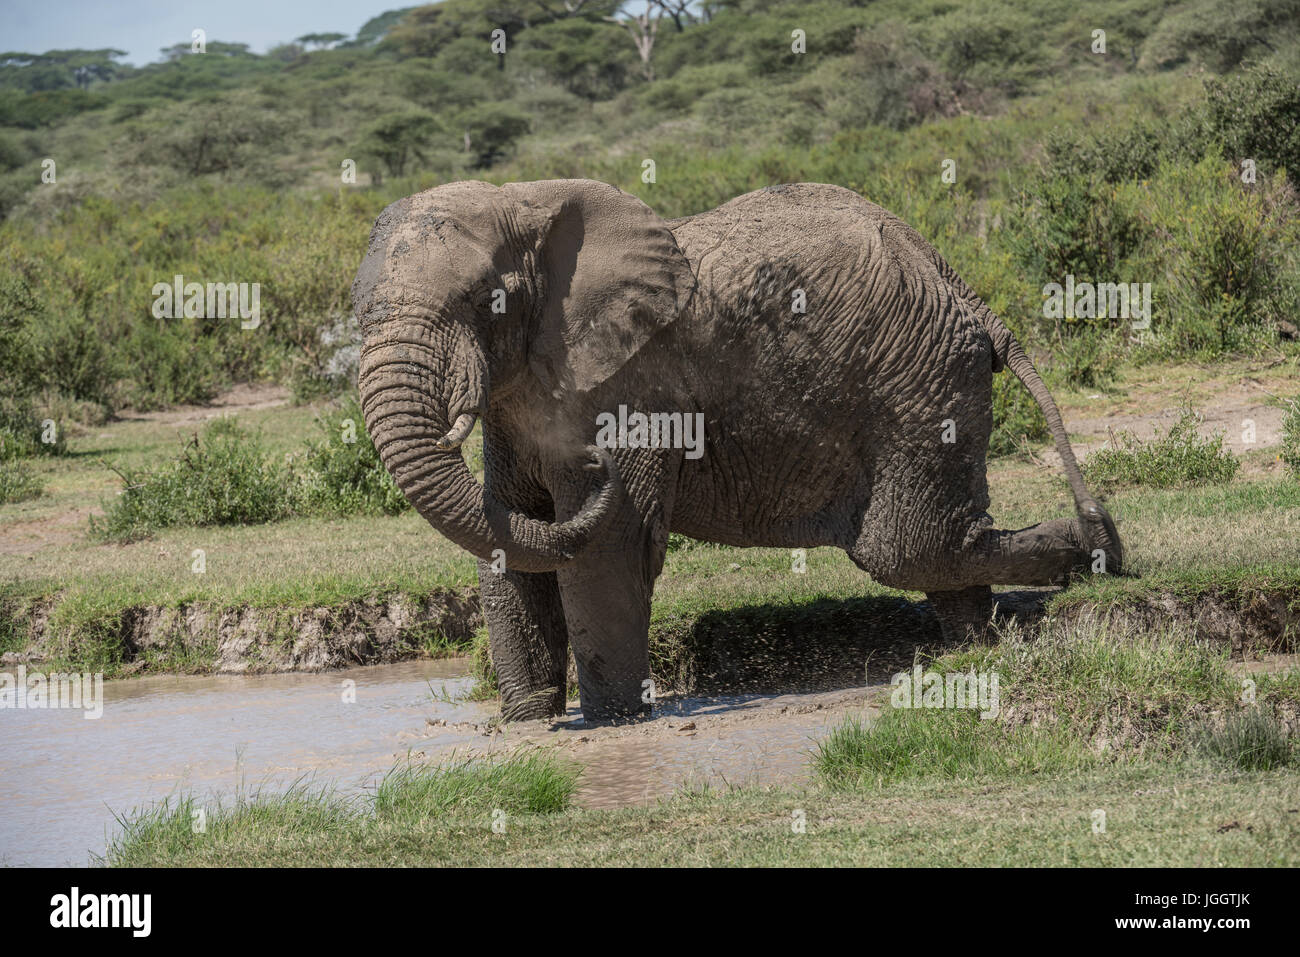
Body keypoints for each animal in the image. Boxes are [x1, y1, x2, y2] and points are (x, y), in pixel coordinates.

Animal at [351, 175, 1123, 722]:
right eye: (357, 316)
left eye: (486, 299)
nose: (597, 465)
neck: (528, 202)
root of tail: (958, 281)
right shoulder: (514, 400)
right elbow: (509, 539)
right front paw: (526, 720)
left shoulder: (632, 380)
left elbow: (605, 547)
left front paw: (611, 724)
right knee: (931, 549)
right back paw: (981, 643)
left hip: (918, 380)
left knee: (902, 548)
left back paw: (1099, 551)